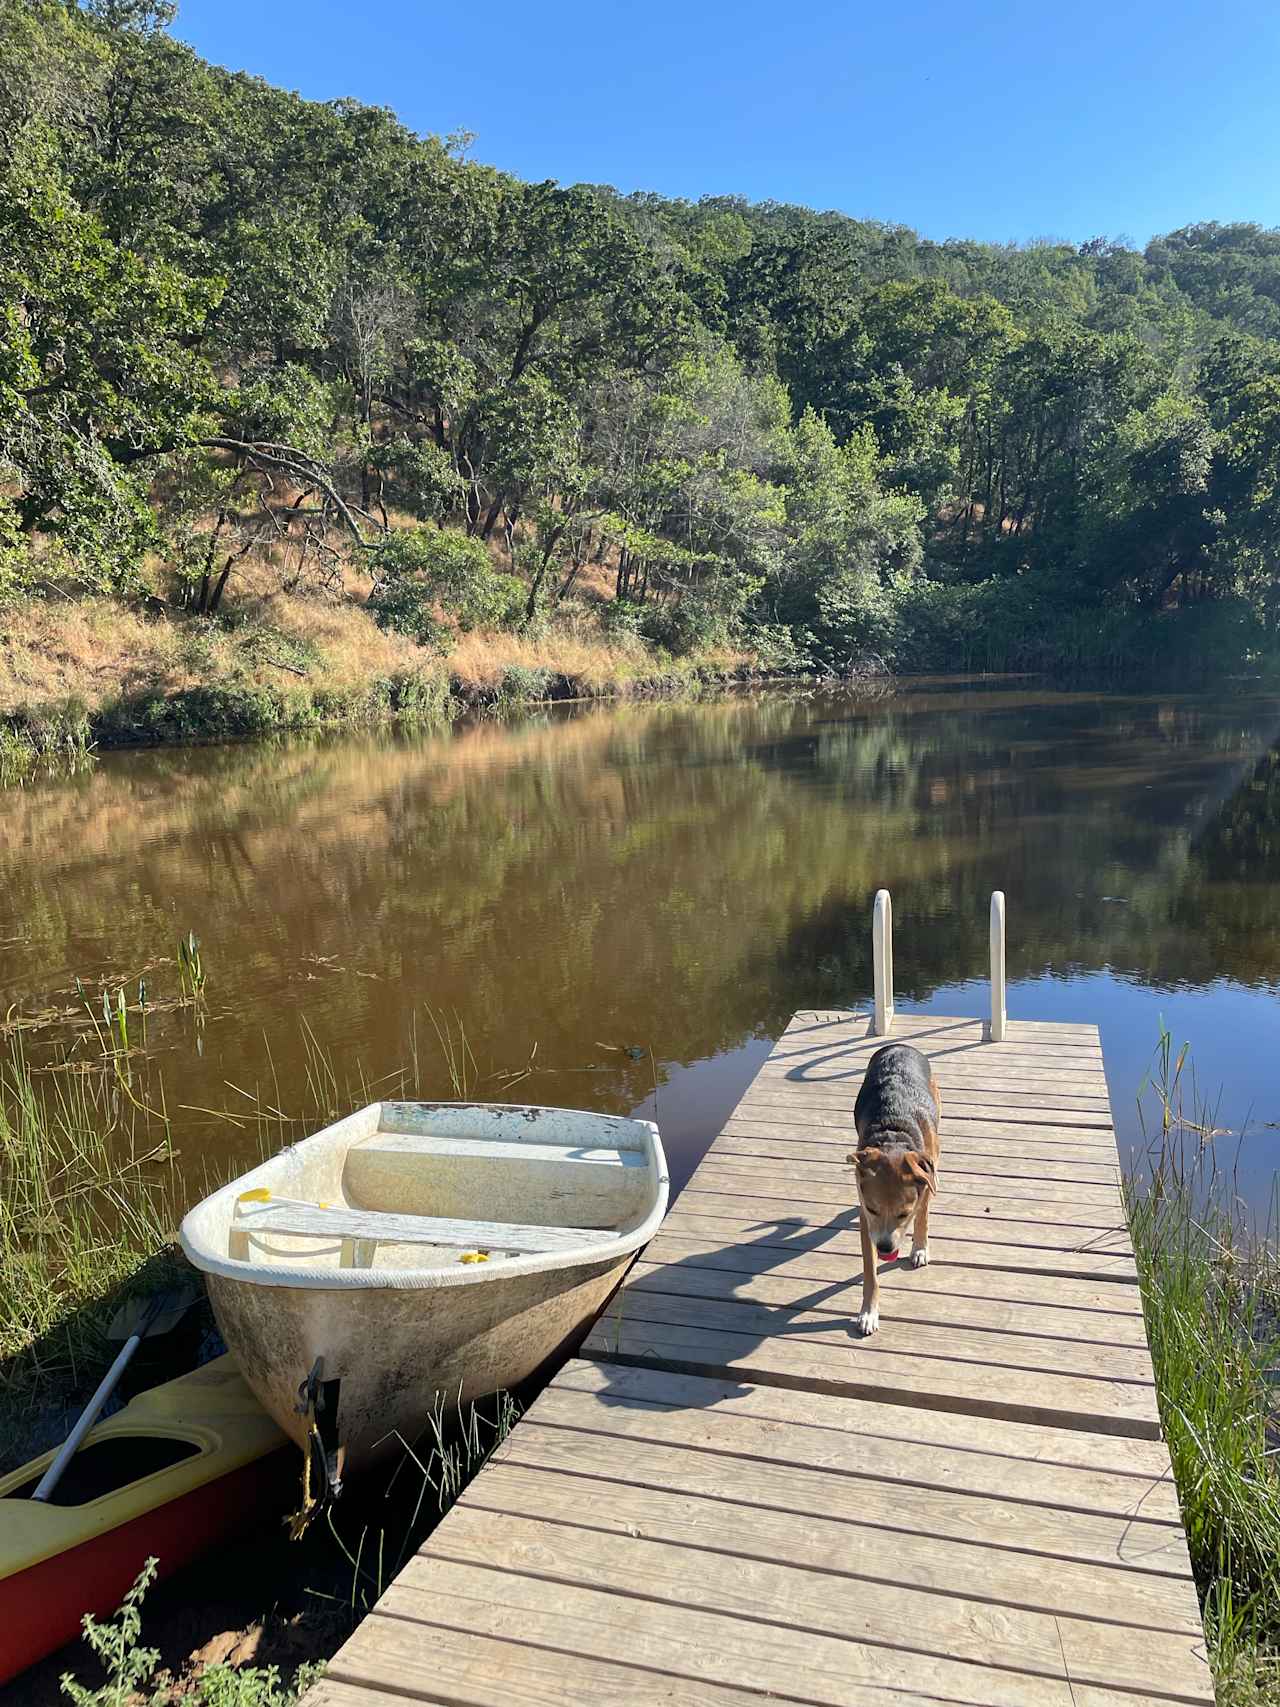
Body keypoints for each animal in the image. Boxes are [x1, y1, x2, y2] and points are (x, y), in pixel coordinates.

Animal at [853, 1037, 942, 1331]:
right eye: (872, 1209)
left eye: (904, 1214)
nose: (885, 1248)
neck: (893, 1134)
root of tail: (899, 1045)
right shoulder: (866, 1221)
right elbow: (870, 1273)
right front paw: (869, 1312)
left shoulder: (924, 1183)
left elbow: (922, 1215)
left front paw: (920, 1248)